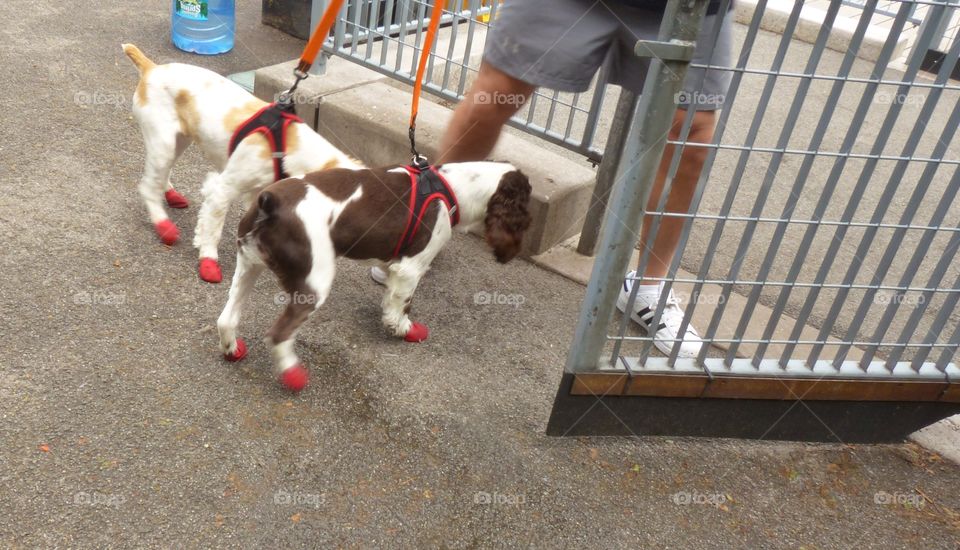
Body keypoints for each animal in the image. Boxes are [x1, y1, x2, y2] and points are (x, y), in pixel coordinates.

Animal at [123, 42, 356, 282]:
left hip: (179, 140)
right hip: (163, 143)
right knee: (148, 187)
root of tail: (152, 68)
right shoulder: (223, 190)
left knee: (162, 176)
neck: (291, 147)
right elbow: (214, 229)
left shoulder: (257, 197)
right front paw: (208, 261)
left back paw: (171, 195)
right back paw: (163, 225)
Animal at [216, 162, 532, 394]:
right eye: (527, 200)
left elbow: (390, 295)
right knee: (279, 334)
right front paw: (404, 329)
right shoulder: (412, 266)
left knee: (226, 317)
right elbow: (403, 303)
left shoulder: (395, 265)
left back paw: (232, 349)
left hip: (249, 263)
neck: (453, 187)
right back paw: (293, 374)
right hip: (313, 282)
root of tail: (270, 201)